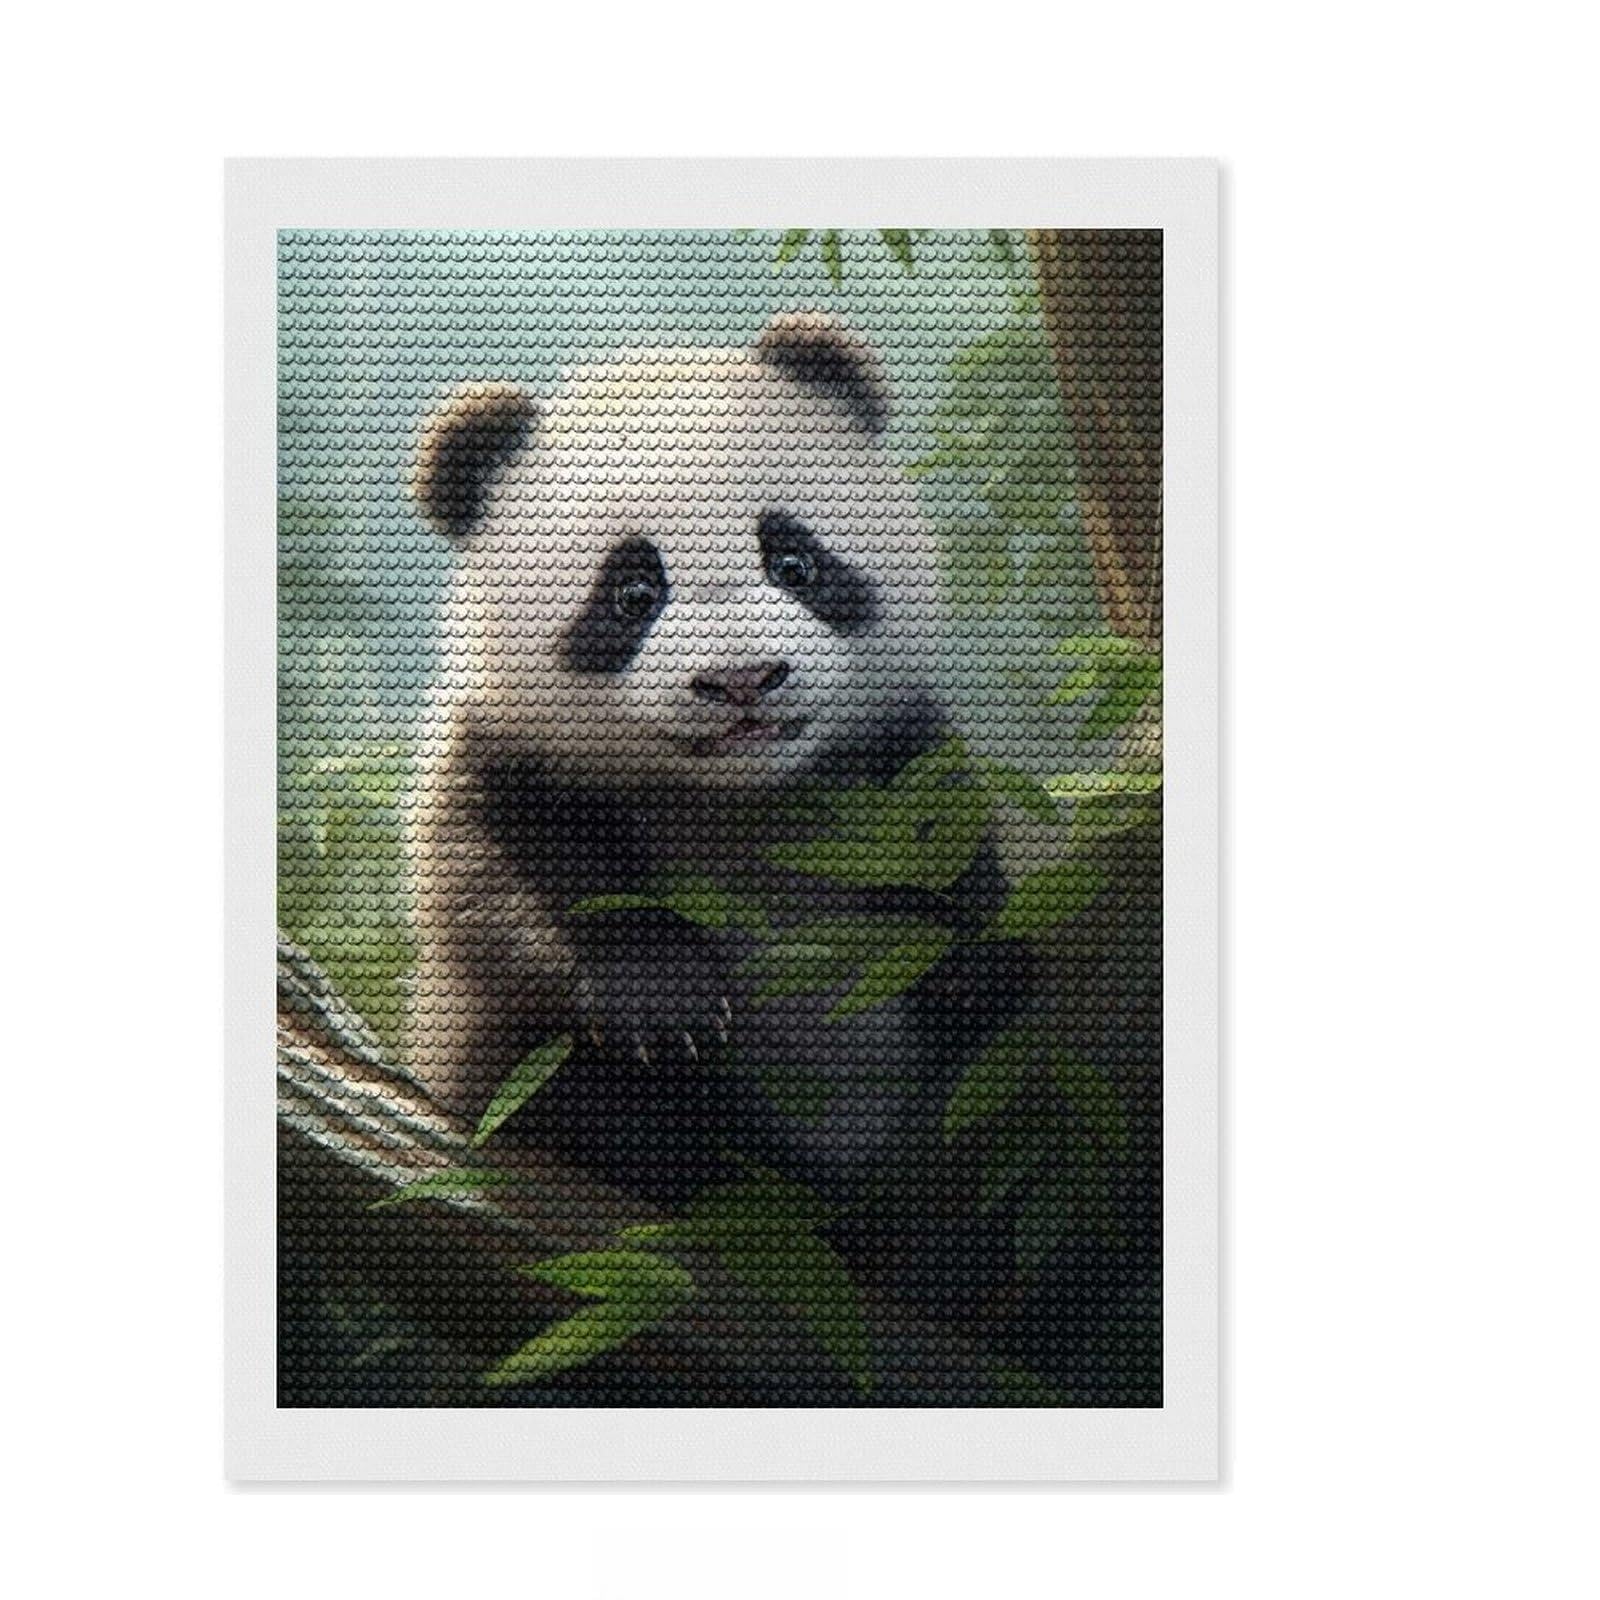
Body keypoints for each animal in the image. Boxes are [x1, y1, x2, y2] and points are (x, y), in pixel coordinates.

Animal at [406, 310, 1025, 1207]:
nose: (742, 680)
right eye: (634, 592)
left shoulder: (886, 745)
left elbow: (940, 838)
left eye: (793, 560)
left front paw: (967, 965)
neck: (732, 796)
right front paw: (666, 1003)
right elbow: (494, 879)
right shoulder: (503, 751)